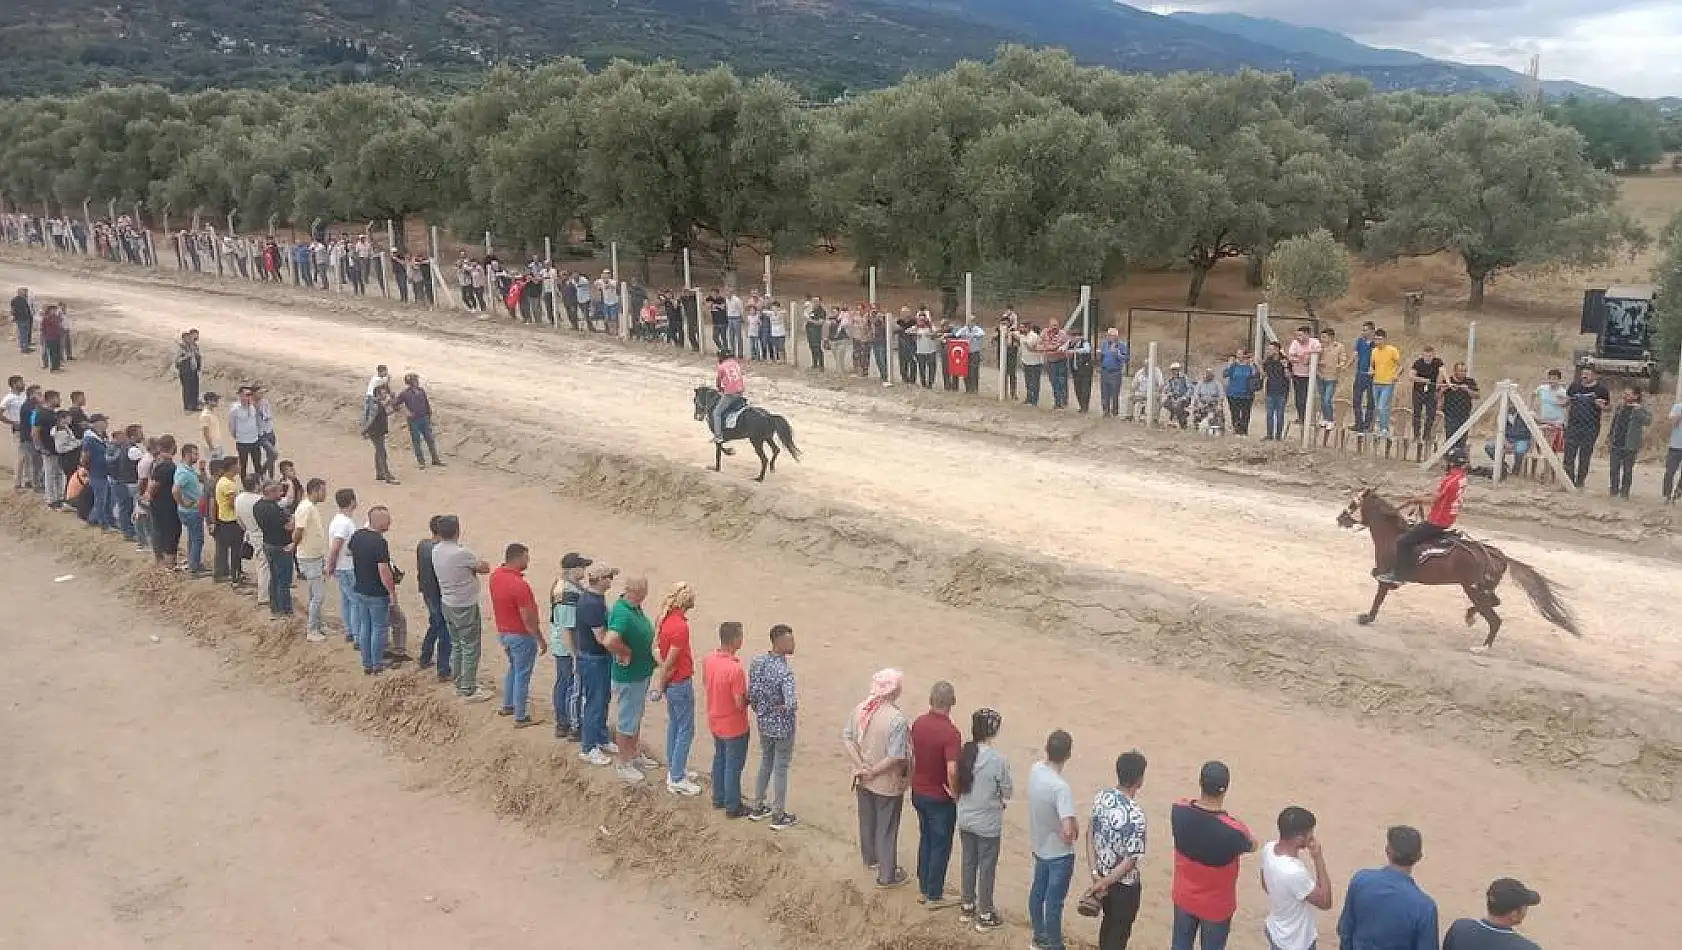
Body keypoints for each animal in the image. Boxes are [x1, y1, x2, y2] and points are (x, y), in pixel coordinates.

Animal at [1338, 487, 1574, 652]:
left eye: (1353, 503)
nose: (1340, 518)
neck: (1393, 536)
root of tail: (1498, 555)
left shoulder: (1385, 576)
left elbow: (1378, 597)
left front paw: (1367, 618)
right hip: (1481, 589)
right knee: (1494, 603)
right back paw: (1470, 616)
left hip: (1472, 588)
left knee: (1495, 619)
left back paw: (1482, 647)